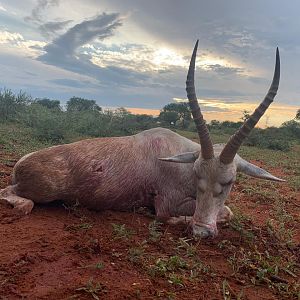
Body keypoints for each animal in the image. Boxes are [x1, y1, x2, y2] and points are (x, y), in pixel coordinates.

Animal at [0, 40, 282, 237]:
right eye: (197, 174)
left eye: (230, 181)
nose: (202, 231)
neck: (179, 160)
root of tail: (21, 163)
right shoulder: (168, 203)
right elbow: (221, 212)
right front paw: (179, 221)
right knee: (17, 199)